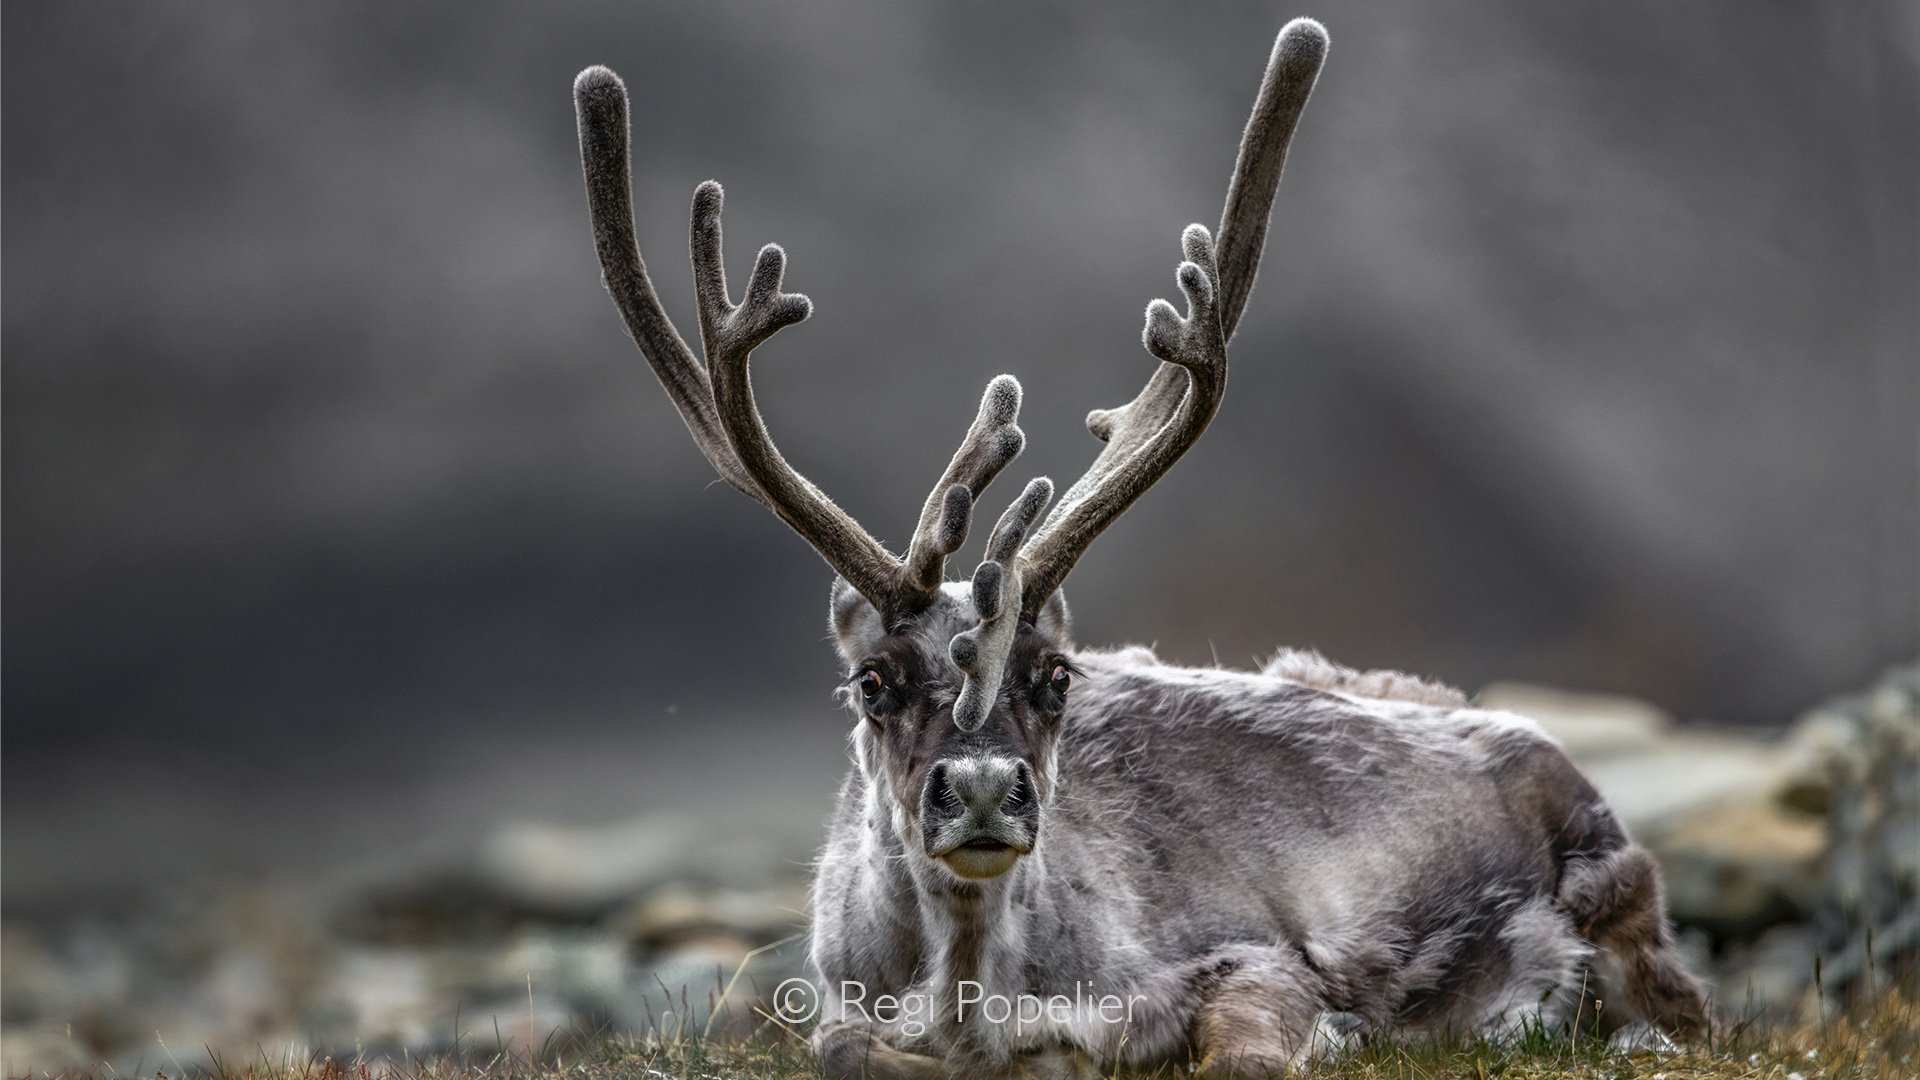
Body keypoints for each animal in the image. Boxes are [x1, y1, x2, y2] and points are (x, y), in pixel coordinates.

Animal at [571, 16, 1708, 1078]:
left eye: (1058, 676)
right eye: (873, 683)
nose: (979, 787)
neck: (972, 989)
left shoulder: (1254, 959)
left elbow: (1246, 1047)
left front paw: (1333, 1032)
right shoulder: (838, 1001)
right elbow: (842, 1046)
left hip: (1622, 906)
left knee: (1680, 1005)